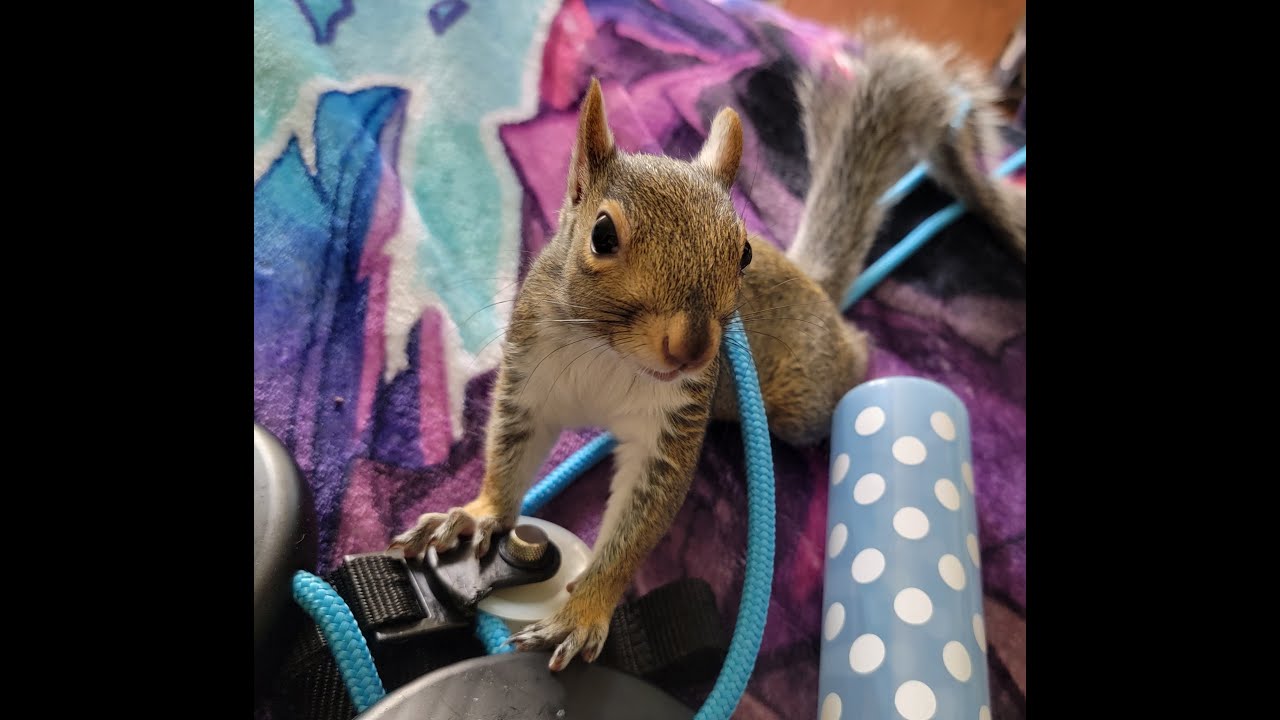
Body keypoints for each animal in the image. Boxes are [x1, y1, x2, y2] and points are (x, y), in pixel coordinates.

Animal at [390, 24, 1026, 671]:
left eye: (742, 250)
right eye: (601, 234)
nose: (693, 349)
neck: (608, 353)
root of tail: (813, 286)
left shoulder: (670, 428)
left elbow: (638, 523)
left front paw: (583, 611)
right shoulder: (532, 380)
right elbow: (510, 454)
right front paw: (477, 515)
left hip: (803, 401)